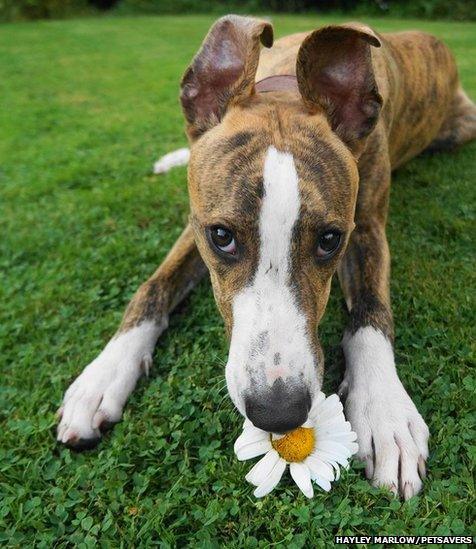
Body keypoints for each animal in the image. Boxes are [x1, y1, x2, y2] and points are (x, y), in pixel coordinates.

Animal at [56, 17, 476, 498]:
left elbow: (372, 311)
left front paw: (385, 412)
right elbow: (152, 287)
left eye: (330, 240)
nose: (279, 413)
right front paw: (101, 378)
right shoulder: (196, 223)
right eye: (222, 237)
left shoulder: (366, 226)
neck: (283, 92)